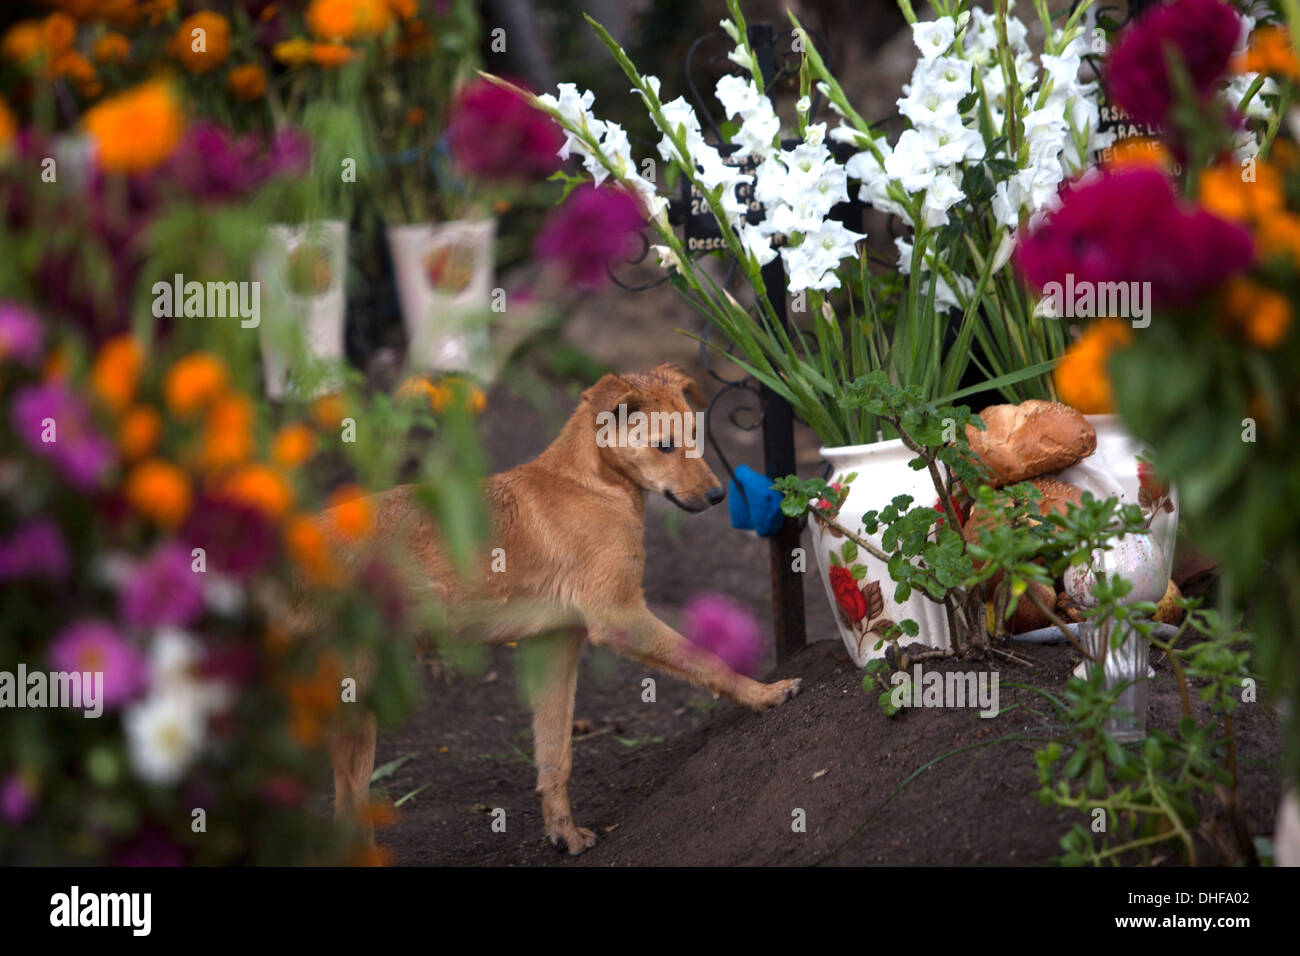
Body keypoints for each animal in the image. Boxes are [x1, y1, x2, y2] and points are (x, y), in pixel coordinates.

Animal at [319, 364, 795, 853]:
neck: (591, 484)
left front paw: (563, 832)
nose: (719, 495)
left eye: (697, 435)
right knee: (348, 808)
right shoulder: (619, 615)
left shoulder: (555, 644)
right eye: (664, 445)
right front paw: (763, 694)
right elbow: (707, 661)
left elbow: (555, 755)